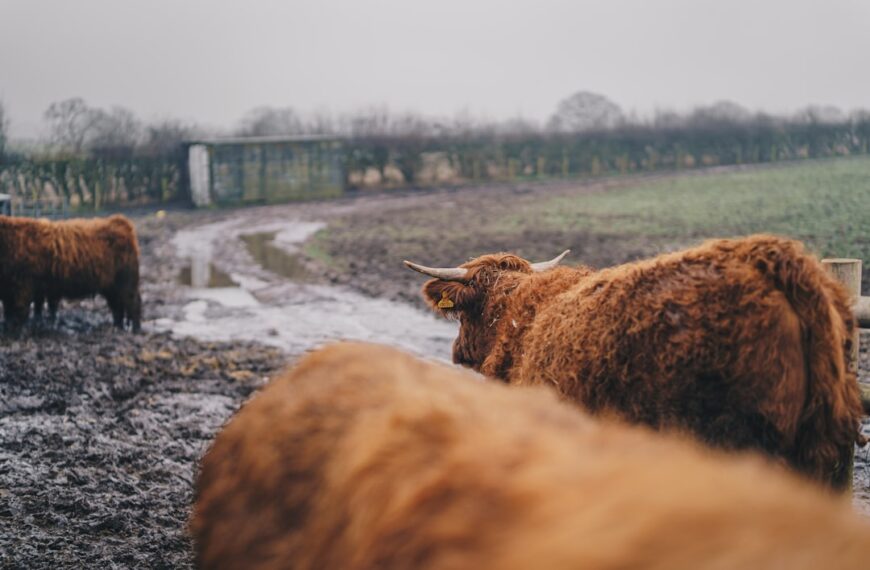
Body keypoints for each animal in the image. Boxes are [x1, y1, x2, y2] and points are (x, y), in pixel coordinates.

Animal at [0, 214, 141, 332]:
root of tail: (119, 221)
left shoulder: (21, 287)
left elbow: (19, 311)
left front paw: (15, 332)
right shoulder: (9, 290)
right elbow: (9, 311)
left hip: (126, 283)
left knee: (133, 302)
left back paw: (135, 330)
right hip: (110, 287)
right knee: (117, 307)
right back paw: (117, 327)